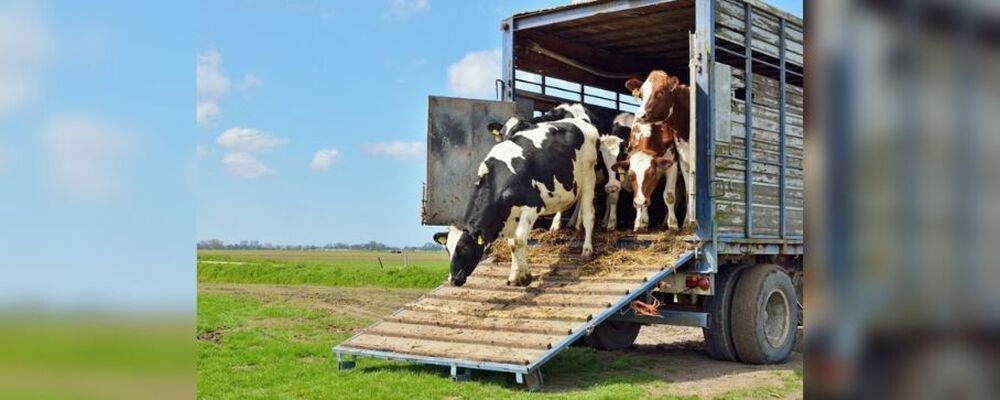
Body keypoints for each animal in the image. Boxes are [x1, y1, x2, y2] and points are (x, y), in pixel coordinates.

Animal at [434, 111, 596, 286]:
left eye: (464, 247)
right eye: (448, 250)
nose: (453, 279)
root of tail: (580, 122)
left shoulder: (532, 206)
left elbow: (517, 241)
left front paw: (524, 277)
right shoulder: (511, 215)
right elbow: (511, 243)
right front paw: (515, 274)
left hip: (589, 175)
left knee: (589, 214)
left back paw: (587, 250)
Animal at [612, 70, 692, 230]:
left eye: (660, 92)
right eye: (641, 94)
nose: (641, 115)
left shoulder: (673, 161)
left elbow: (669, 195)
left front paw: (674, 224)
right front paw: (640, 222)